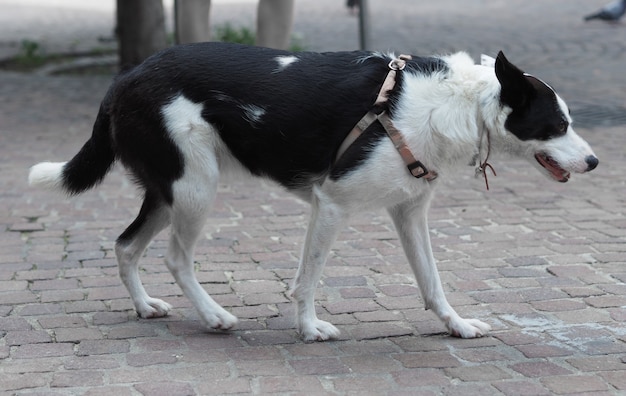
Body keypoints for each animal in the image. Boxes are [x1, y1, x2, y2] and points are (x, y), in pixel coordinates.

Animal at [28, 41, 596, 342]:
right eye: (557, 125)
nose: (593, 162)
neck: (454, 103)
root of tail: (126, 77)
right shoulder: (332, 204)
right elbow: (308, 280)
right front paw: (307, 329)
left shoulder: (410, 213)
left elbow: (433, 283)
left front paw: (455, 325)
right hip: (194, 189)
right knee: (173, 258)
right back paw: (212, 316)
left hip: (170, 193)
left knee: (126, 246)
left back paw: (146, 307)